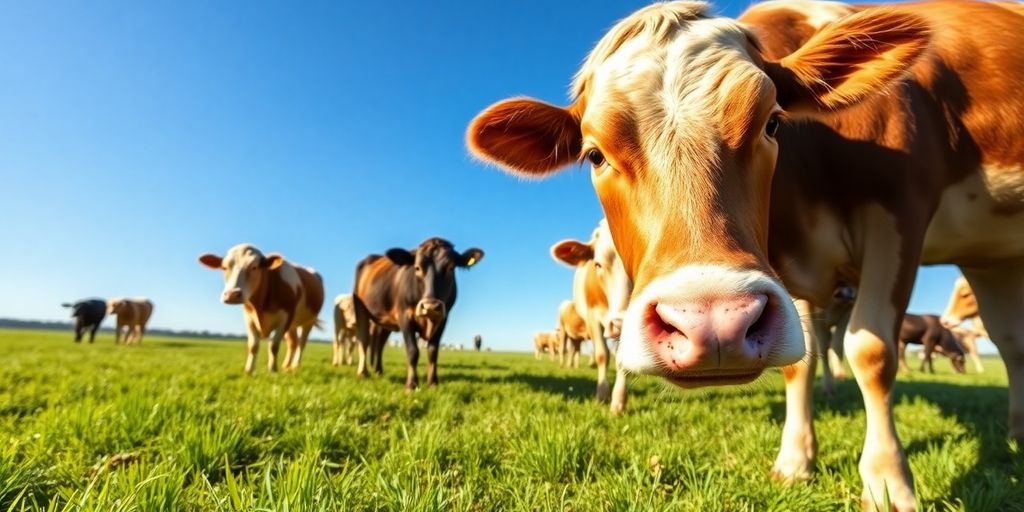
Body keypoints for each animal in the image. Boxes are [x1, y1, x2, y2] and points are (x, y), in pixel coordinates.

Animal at [199, 244, 324, 374]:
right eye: (224, 267)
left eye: (254, 267)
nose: (232, 294)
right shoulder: (249, 319)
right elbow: (253, 345)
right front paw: (249, 370)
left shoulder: (286, 318)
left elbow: (274, 345)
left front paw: (272, 370)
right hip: (292, 325)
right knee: (293, 342)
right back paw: (286, 366)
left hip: (309, 320)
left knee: (302, 343)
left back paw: (295, 365)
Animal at [353, 237, 483, 389]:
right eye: (417, 268)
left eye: (451, 268)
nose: (430, 306)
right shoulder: (404, 316)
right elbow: (412, 351)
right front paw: (411, 384)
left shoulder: (443, 319)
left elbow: (433, 351)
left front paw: (433, 383)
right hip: (360, 308)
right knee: (364, 340)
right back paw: (363, 373)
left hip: (385, 321)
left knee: (380, 344)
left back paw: (379, 371)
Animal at [551, 219, 633, 413]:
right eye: (598, 264)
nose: (623, 322)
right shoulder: (591, 316)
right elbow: (602, 354)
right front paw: (602, 395)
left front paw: (618, 401)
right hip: (564, 331)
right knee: (566, 349)